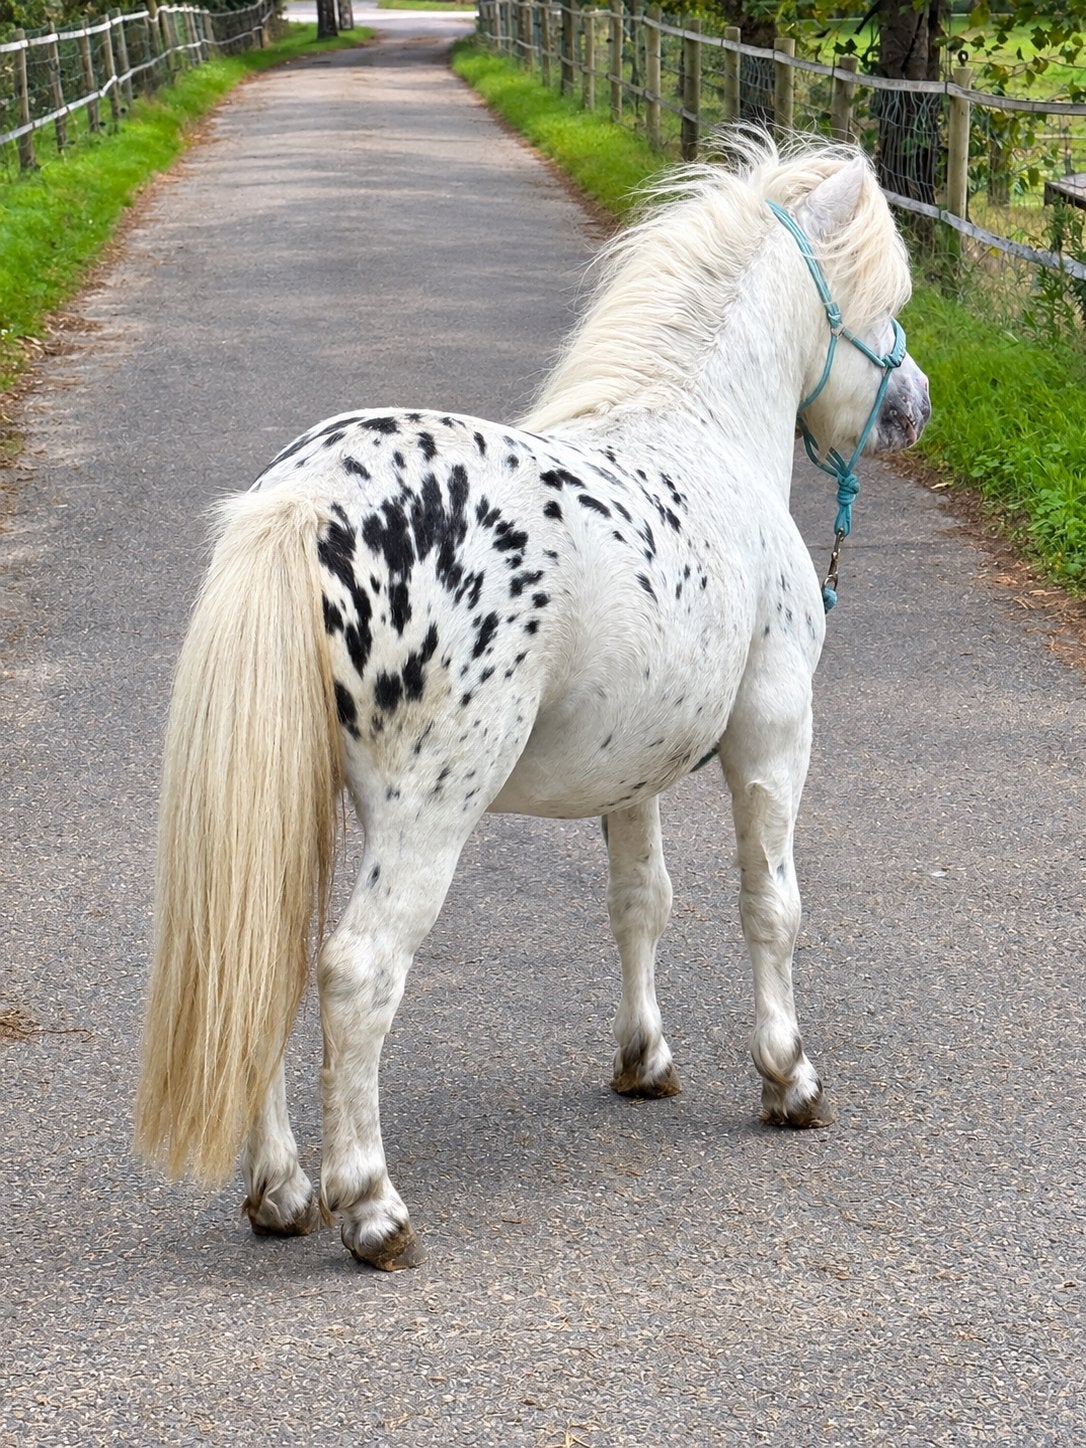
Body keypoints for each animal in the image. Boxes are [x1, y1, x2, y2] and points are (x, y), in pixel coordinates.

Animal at [134, 131, 930, 1271]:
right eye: (883, 300)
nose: (913, 404)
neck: (701, 432)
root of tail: (305, 499)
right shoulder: (773, 734)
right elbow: (770, 905)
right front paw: (789, 1077)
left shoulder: (634, 774)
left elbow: (641, 903)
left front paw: (645, 1060)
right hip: (425, 813)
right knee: (356, 973)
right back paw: (369, 1206)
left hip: (291, 806)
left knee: (263, 964)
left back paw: (281, 1190)